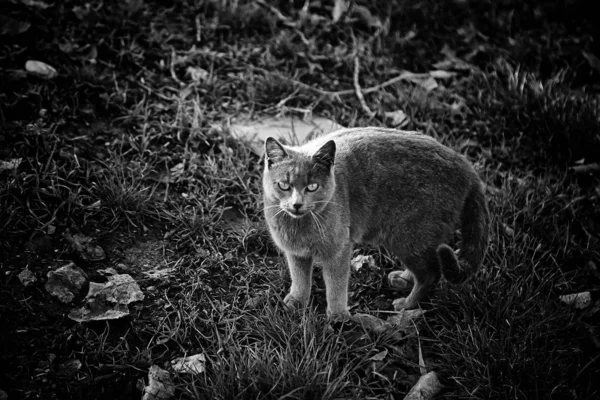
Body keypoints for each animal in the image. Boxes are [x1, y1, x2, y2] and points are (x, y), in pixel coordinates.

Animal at [264, 127, 490, 316]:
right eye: (284, 185)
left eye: (312, 187)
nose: (297, 205)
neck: (299, 227)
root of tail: (467, 166)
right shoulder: (295, 253)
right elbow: (299, 278)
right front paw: (296, 302)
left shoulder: (339, 251)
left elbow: (336, 285)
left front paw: (337, 317)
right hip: (418, 240)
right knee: (429, 264)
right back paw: (403, 279)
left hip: (409, 237)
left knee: (431, 274)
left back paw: (406, 304)